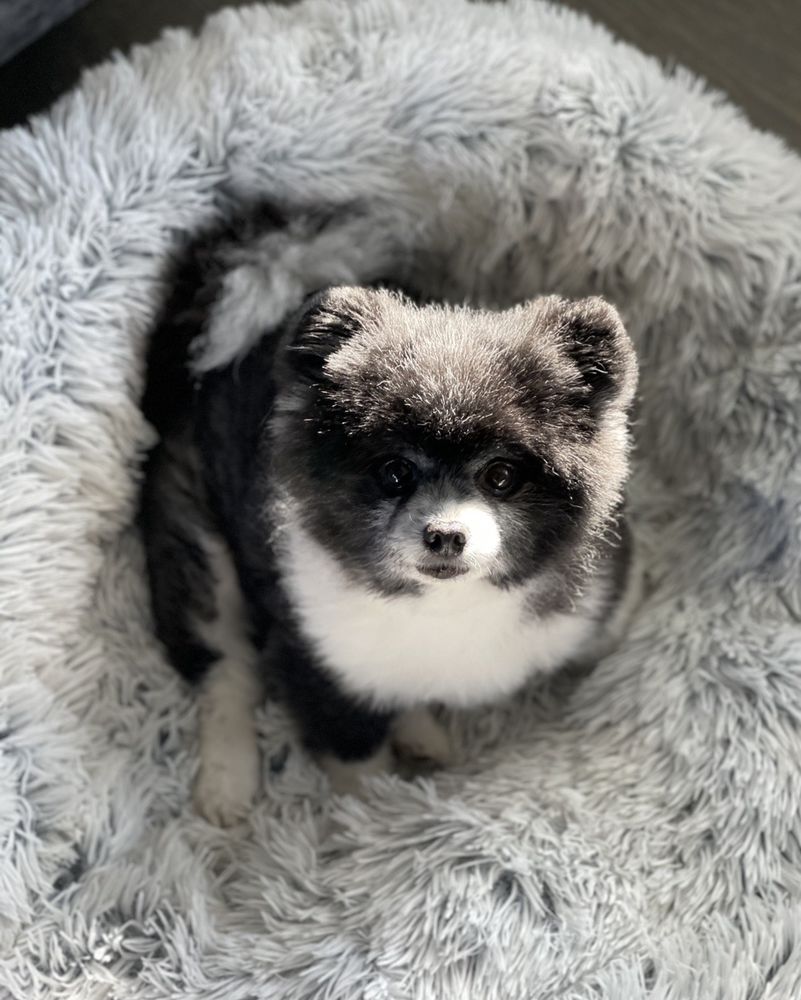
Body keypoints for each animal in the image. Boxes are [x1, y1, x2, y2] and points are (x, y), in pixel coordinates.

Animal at [141, 252, 639, 825]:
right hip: (195, 536)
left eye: (500, 476)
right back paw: (228, 779)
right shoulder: (322, 663)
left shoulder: (591, 600)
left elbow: (614, 619)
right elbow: (356, 760)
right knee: (223, 662)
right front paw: (372, 819)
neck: (448, 606)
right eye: (395, 472)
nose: (445, 534)